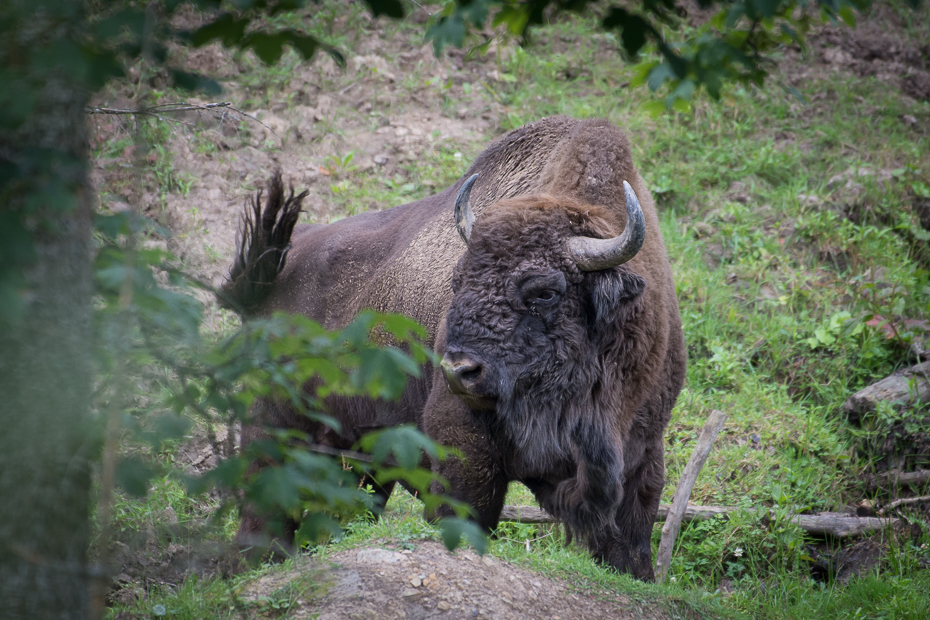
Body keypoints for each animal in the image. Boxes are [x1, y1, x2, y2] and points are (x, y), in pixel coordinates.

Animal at [218, 116, 680, 580]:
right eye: (457, 280)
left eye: (546, 291)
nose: (459, 370)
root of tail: (270, 277)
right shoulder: (463, 445)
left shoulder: (642, 453)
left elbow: (630, 543)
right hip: (275, 428)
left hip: (359, 455)